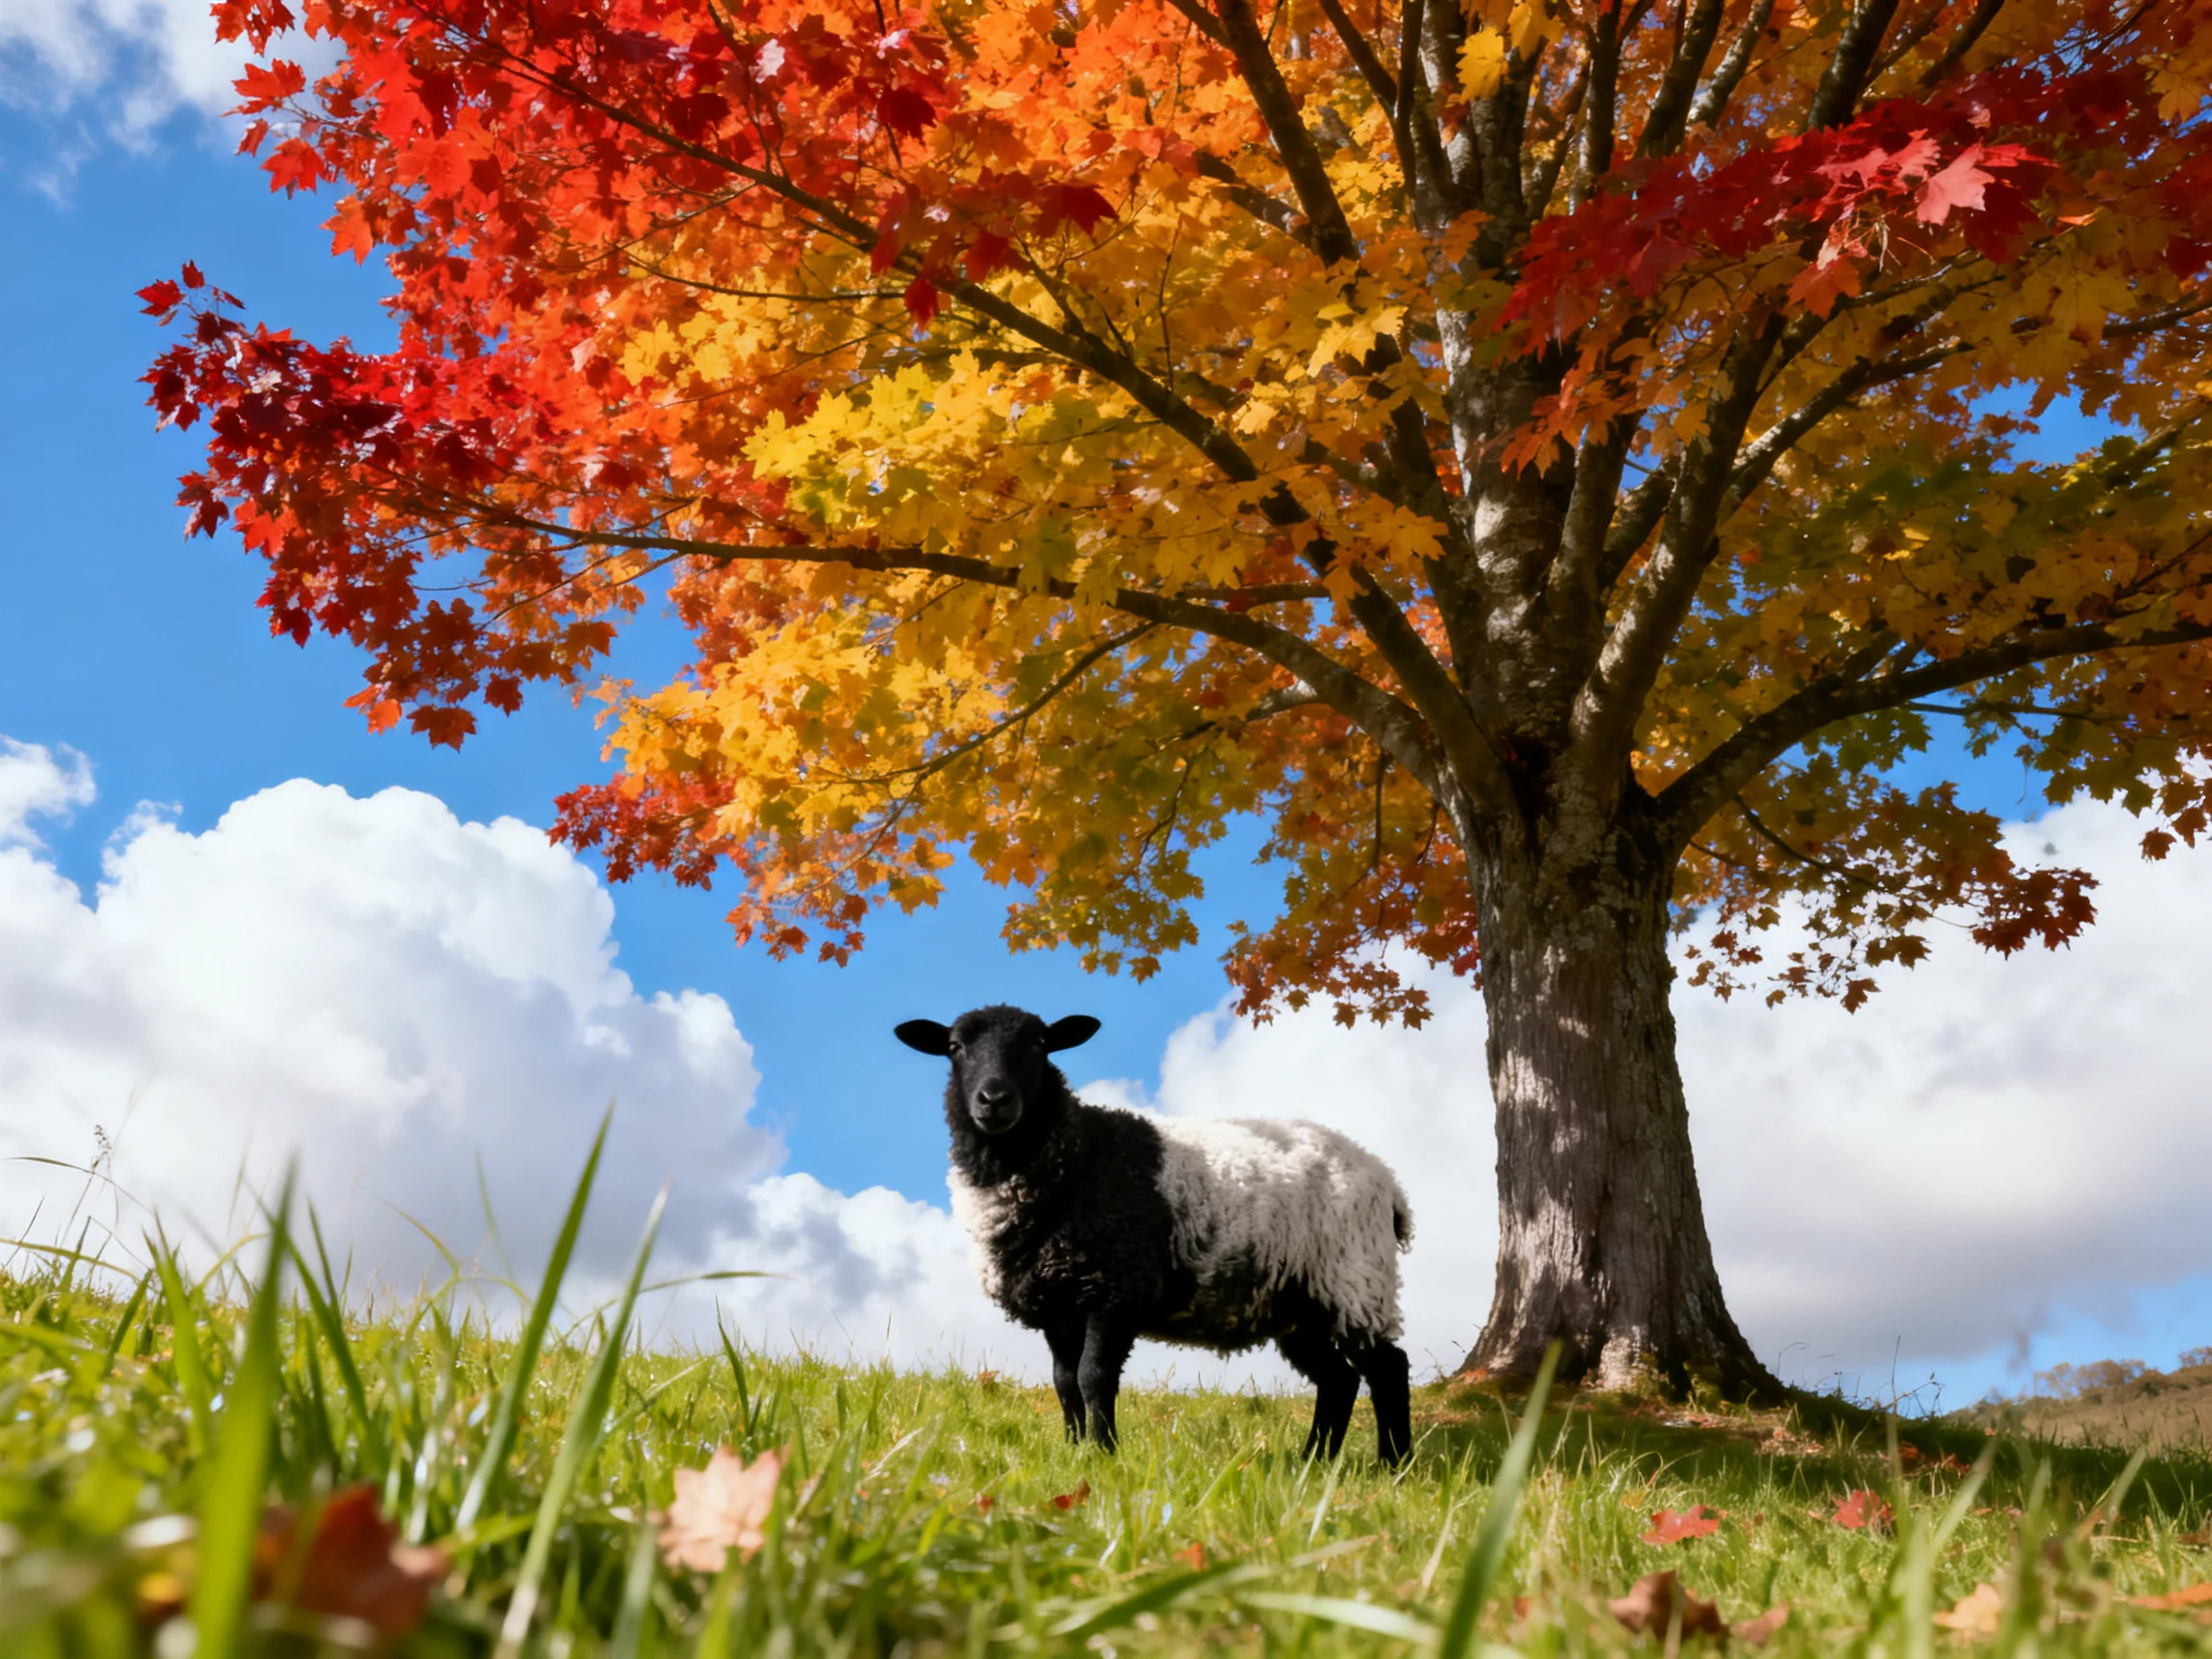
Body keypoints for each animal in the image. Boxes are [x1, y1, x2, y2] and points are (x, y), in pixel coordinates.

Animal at [894, 1003, 1415, 1464]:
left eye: (1040, 1045)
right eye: (955, 1047)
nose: (995, 1100)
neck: (1076, 1157)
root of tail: (1388, 1182)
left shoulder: (1115, 1290)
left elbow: (1093, 1377)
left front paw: (1104, 1455)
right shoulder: (1057, 1305)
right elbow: (1063, 1381)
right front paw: (1073, 1451)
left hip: (1355, 1278)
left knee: (1388, 1370)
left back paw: (1394, 1465)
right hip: (1300, 1303)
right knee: (1339, 1380)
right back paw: (1313, 1463)